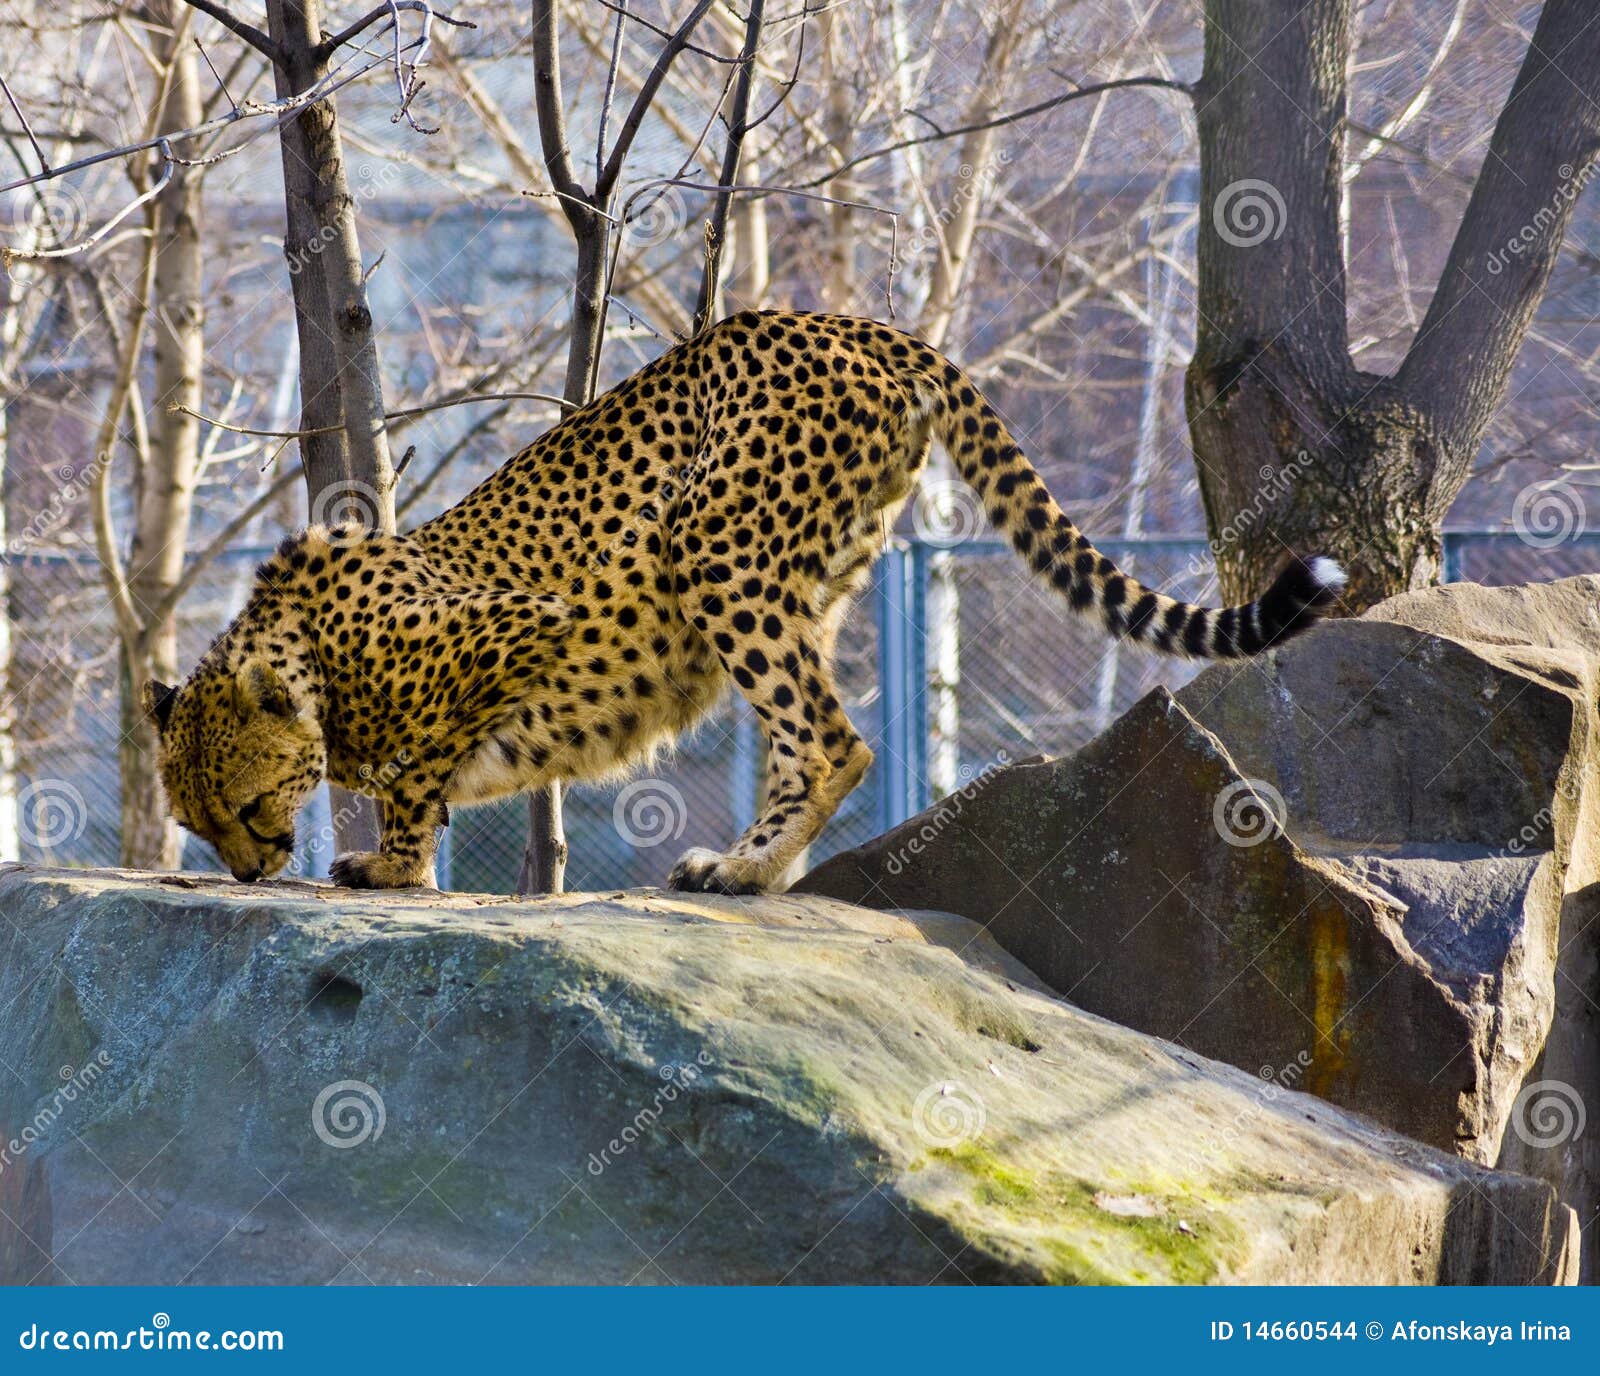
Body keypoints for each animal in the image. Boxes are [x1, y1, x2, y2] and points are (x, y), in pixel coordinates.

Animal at [150, 312, 1344, 889]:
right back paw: (754, 859)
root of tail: (847, 321)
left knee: (834, 738)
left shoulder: (515, 625)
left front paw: (393, 865)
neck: (306, 654)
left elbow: (416, 776)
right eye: (195, 823)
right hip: (810, 570)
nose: (252, 868)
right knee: (799, 730)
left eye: (246, 809)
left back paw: (752, 868)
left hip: (714, 548)